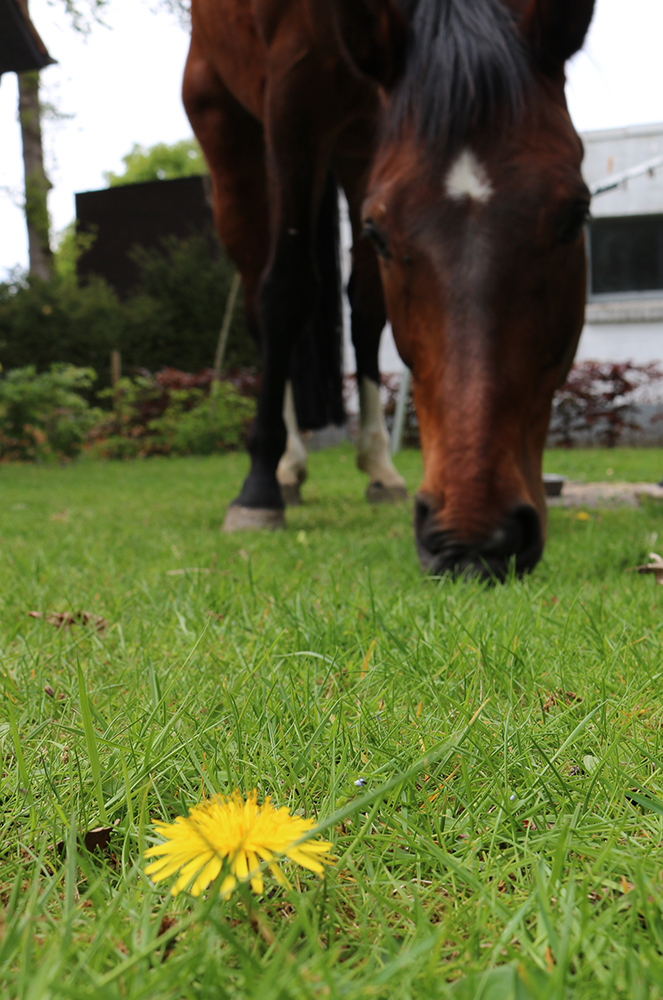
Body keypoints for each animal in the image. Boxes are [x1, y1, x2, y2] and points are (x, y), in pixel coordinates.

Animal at [183, 0, 596, 580]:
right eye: (379, 233)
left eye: (575, 215)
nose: (471, 540)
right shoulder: (291, 94)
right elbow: (285, 291)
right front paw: (258, 490)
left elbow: (367, 309)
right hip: (229, 130)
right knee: (261, 302)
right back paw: (285, 464)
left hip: (358, 141)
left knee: (363, 310)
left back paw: (378, 466)